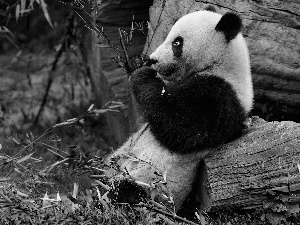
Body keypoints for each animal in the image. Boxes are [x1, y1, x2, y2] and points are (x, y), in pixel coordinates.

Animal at [108, 6, 253, 215]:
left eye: (177, 42)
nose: (153, 60)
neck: (222, 64)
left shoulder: (220, 97)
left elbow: (179, 127)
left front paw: (141, 74)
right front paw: (136, 63)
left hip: (153, 189)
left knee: (126, 195)